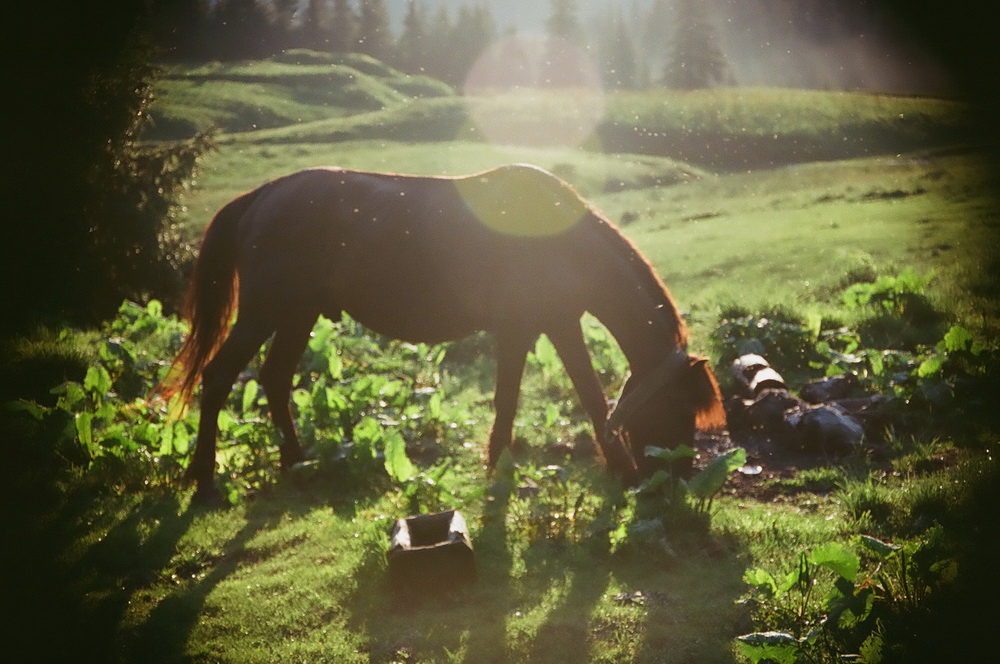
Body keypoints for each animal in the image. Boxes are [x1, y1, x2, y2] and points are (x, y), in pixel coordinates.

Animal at [164, 165, 728, 504]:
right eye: (680, 410)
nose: (679, 479)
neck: (561, 241)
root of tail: (261, 196)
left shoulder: (524, 330)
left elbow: (511, 401)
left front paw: (498, 466)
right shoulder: (552, 326)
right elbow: (586, 398)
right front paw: (622, 472)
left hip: (297, 315)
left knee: (276, 380)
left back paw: (297, 463)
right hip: (264, 313)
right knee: (218, 378)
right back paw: (205, 480)